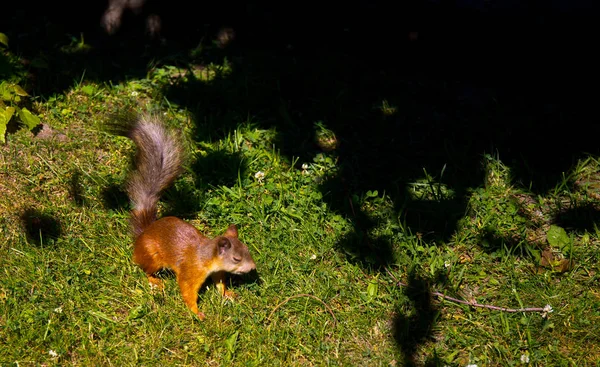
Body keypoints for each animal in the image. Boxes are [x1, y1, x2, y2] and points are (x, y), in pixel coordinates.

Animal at [110, 113, 255, 320]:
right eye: (236, 259)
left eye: (247, 249)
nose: (252, 268)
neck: (207, 256)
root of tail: (144, 232)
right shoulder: (191, 270)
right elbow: (187, 290)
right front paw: (197, 313)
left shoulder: (217, 270)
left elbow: (219, 281)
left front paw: (227, 294)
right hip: (152, 256)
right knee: (145, 269)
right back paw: (155, 281)